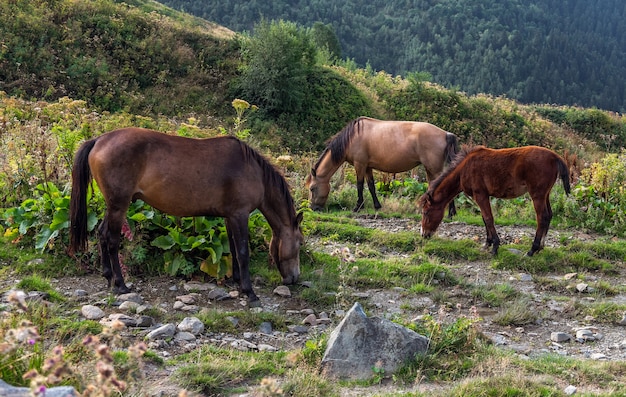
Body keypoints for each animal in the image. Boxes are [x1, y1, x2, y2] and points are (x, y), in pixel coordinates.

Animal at [69, 127, 304, 304]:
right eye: (300, 242)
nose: (294, 278)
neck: (252, 169)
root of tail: (99, 140)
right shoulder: (240, 215)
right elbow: (243, 252)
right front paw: (250, 292)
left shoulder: (230, 216)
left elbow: (233, 250)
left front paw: (237, 281)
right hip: (119, 205)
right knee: (111, 240)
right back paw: (120, 284)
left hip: (113, 206)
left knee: (101, 234)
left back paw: (108, 276)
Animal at [304, 116, 456, 213]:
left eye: (312, 188)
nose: (313, 208)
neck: (352, 137)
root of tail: (445, 134)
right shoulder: (367, 167)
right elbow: (371, 186)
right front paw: (377, 206)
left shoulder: (359, 165)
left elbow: (360, 185)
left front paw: (357, 207)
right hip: (430, 169)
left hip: (433, 168)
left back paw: (451, 212)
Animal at [420, 144, 572, 255]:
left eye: (425, 212)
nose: (424, 235)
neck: (464, 169)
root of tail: (555, 156)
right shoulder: (482, 196)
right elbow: (484, 218)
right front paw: (487, 243)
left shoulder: (480, 195)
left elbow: (488, 218)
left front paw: (495, 247)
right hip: (545, 194)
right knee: (549, 215)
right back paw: (540, 247)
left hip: (537, 195)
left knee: (542, 217)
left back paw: (532, 250)